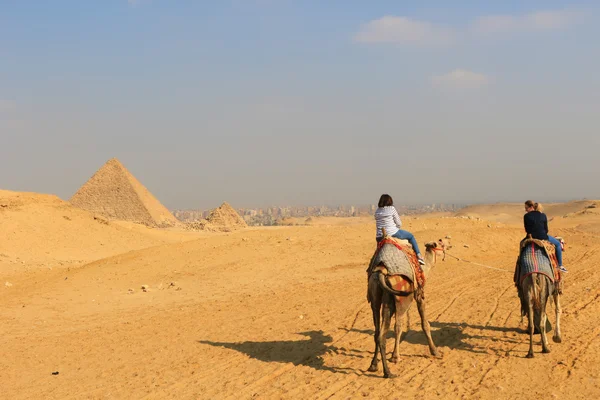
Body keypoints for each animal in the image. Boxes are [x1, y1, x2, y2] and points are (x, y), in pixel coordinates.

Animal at [366, 234, 450, 378]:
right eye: (440, 243)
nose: (448, 240)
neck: (424, 270)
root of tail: (382, 271)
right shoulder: (419, 295)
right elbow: (425, 324)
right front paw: (435, 351)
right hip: (399, 300)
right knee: (393, 328)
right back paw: (390, 368)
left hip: (374, 296)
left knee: (377, 331)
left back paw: (374, 365)